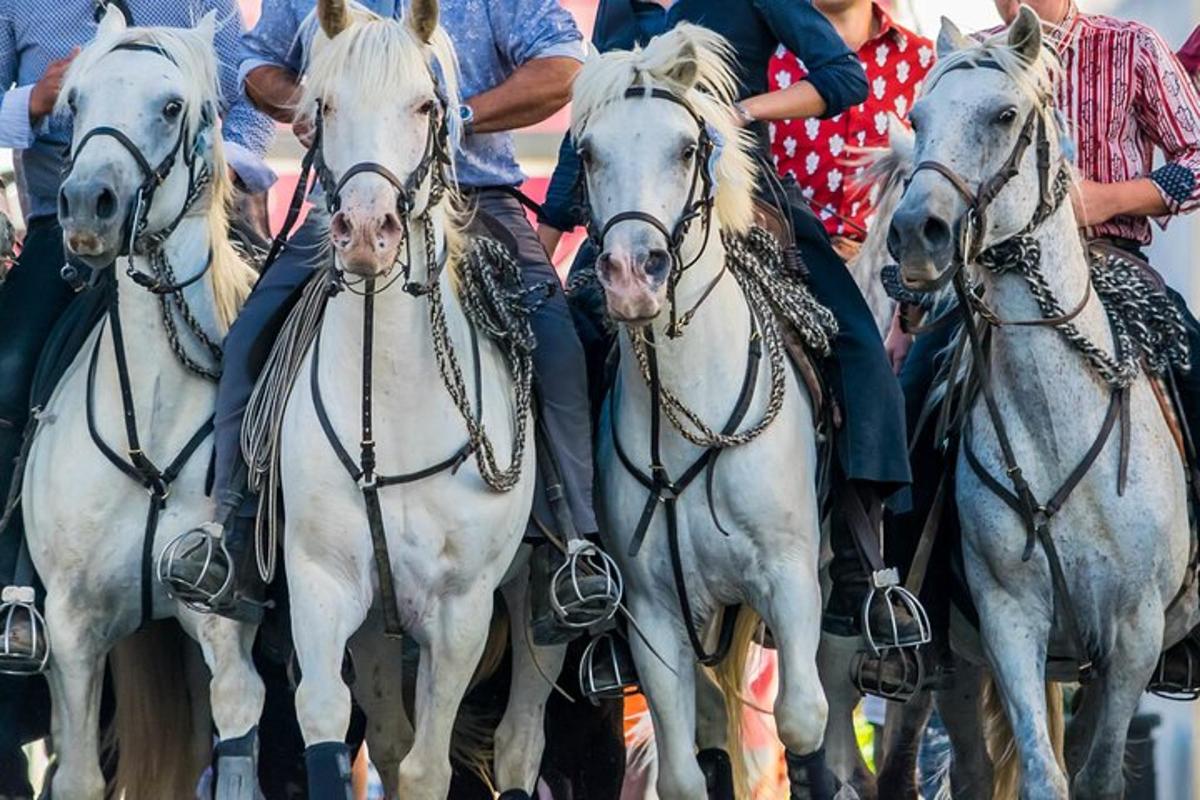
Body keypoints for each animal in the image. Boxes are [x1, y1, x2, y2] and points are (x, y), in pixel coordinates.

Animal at [21, 7, 265, 800]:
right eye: (74, 103)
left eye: (171, 107)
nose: (86, 205)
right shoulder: (72, 630)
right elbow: (77, 777)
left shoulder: (219, 619)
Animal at [278, 1, 564, 800]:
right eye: (324, 104)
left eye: (426, 105)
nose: (366, 232)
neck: (389, 413)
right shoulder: (322, 581)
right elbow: (325, 721)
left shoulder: (460, 608)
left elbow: (426, 767)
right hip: (379, 627)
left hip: (538, 611)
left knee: (521, 740)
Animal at [576, 26, 840, 800]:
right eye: (588, 152)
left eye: (687, 149)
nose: (633, 275)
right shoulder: (656, 611)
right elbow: (688, 773)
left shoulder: (790, 576)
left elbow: (801, 722)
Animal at [888, 7, 1195, 800]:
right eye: (917, 117)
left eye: (1003, 115)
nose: (915, 234)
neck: (1057, 428)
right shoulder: (1008, 619)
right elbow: (1043, 774)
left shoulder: (1133, 635)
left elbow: (1097, 776)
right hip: (957, 666)